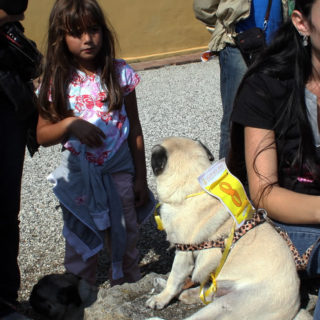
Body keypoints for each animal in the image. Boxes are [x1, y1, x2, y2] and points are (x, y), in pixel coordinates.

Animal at [146, 137, 310, 320]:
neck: (193, 188)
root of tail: (295, 306)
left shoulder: (184, 252)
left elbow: (174, 279)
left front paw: (161, 298)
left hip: (228, 305)